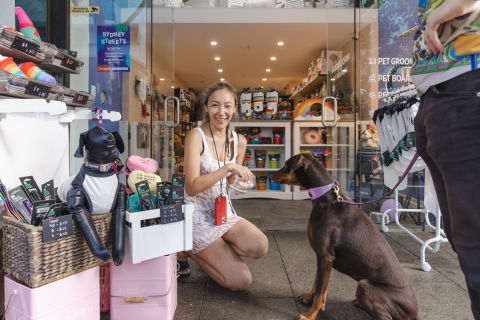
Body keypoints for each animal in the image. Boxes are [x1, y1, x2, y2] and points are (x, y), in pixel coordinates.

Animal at [272, 154, 418, 318]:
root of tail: (414, 313)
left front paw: (310, 315)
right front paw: (310, 298)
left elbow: (319, 291)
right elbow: (319, 284)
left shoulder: (325, 255)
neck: (326, 197)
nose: (270, 176)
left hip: (365, 285)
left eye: (286, 165)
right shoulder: (323, 256)